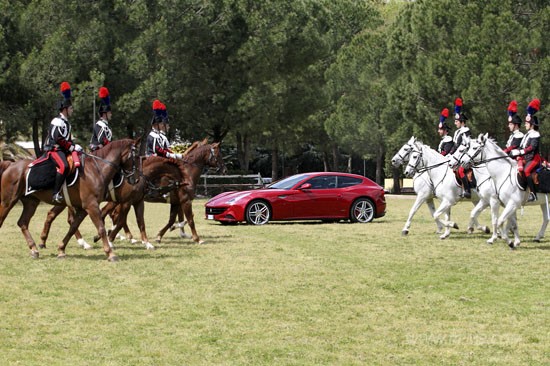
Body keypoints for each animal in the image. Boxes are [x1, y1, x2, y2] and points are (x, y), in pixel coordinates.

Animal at [0, 139, 138, 262]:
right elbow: (101, 228)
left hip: (31, 202)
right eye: (135, 156)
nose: (135, 179)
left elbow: (73, 227)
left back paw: (34, 249)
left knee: (23, 222)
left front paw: (61, 250)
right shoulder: (91, 206)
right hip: (8, 201)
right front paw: (110, 254)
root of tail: (11, 164)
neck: (96, 169)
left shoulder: (83, 208)